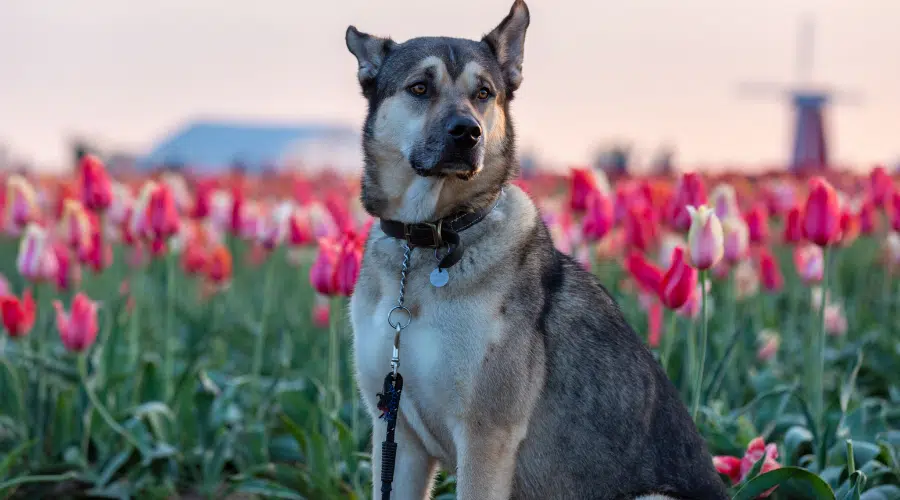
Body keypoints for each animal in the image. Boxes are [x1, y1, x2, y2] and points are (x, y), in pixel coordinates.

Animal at [344, 1, 732, 498]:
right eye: (419, 88)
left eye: (484, 93)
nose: (467, 133)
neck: (428, 239)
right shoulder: (395, 431)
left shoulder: (485, 435)